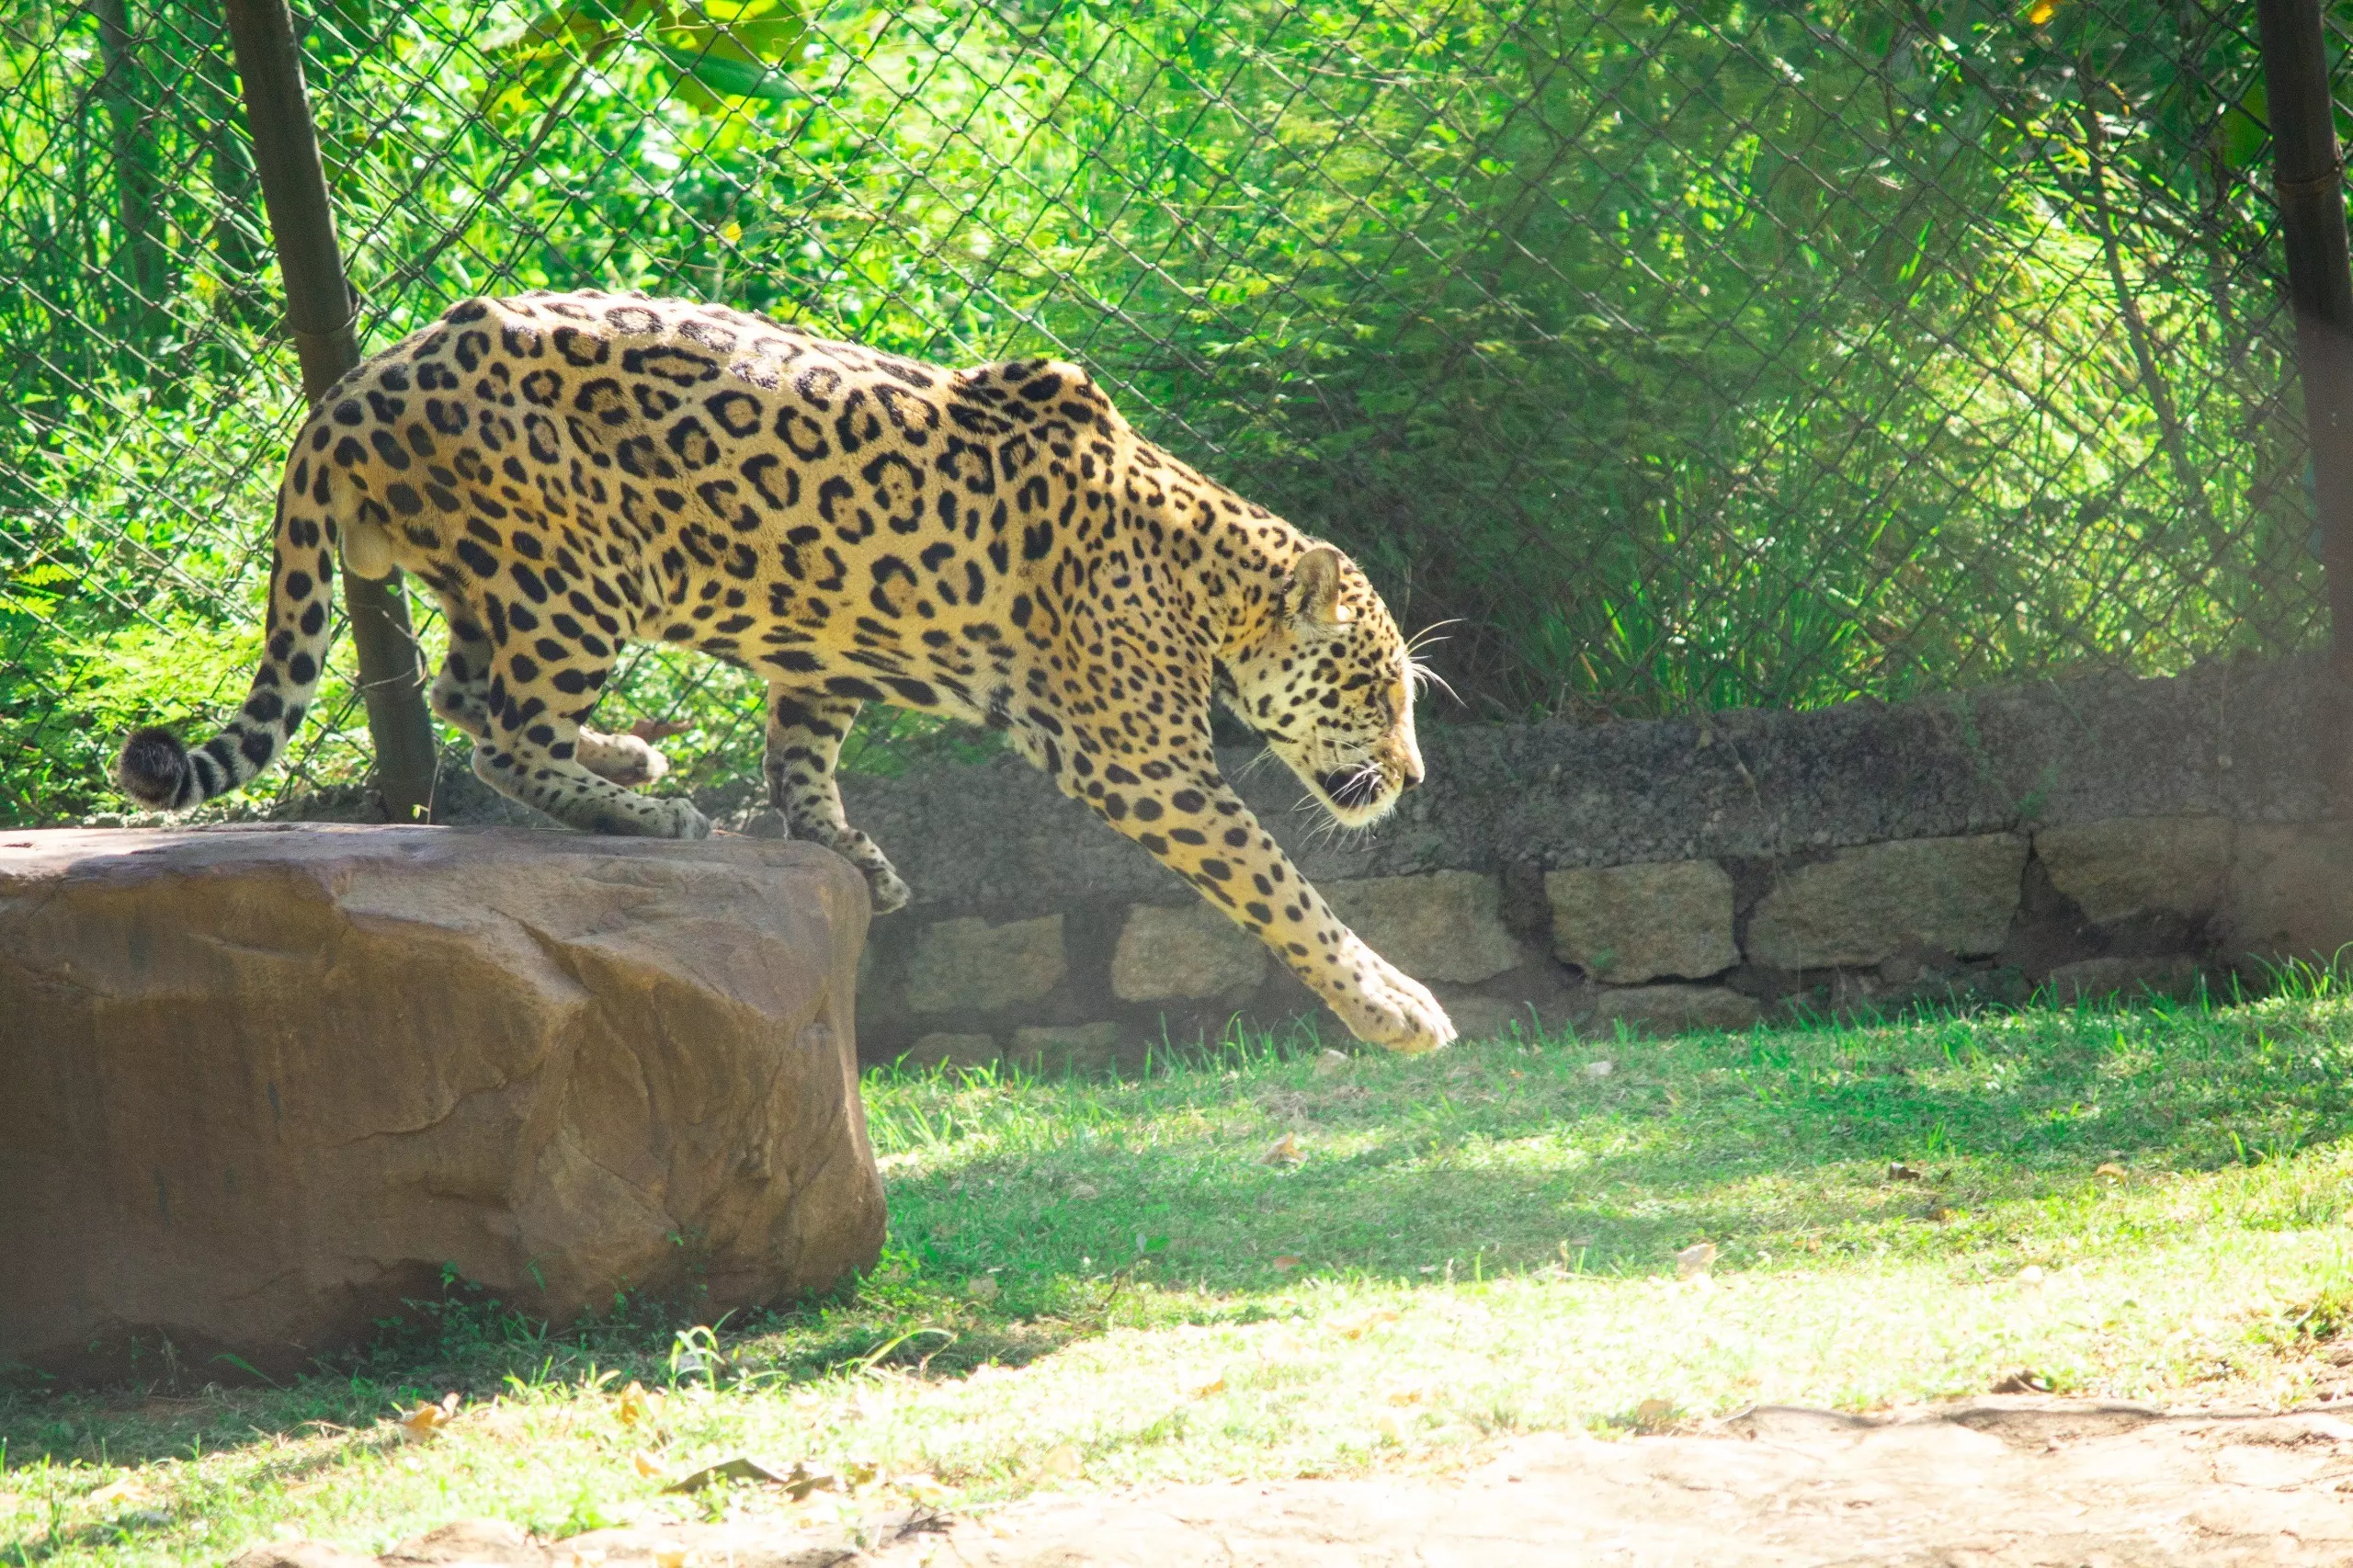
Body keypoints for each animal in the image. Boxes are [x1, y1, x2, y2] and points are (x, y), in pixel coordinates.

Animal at [115, 289, 1456, 1054]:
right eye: (1375, 690)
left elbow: (802, 748)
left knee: (463, 693)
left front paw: (842, 849)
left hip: (514, 577)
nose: (1413, 777)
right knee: (499, 728)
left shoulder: (830, 635)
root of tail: (353, 384)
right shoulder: (1143, 765)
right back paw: (647, 811)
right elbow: (1278, 884)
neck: (1203, 585)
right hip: (578, 572)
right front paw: (1395, 1008)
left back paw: (632, 758)